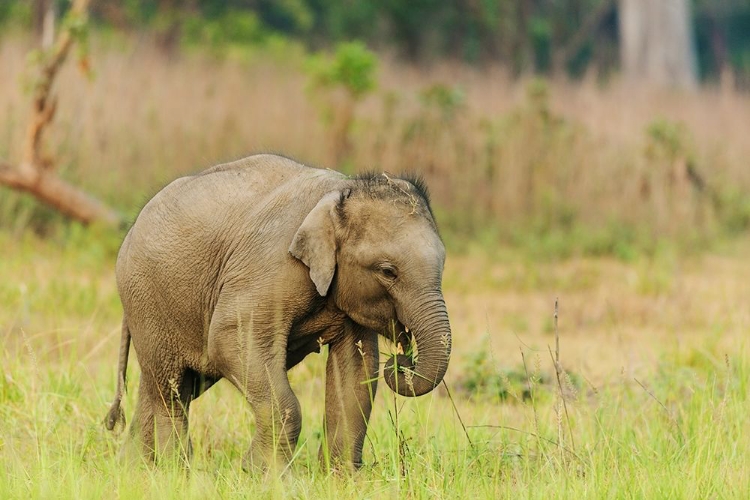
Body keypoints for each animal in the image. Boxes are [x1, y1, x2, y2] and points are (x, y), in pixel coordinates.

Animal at [105, 154, 452, 470]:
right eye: (388, 271)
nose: (402, 359)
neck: (339, 191)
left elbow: (356, 369)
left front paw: (342, 481)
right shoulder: (269, 267)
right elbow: (229, 341)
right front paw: (261, 473)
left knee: (171, 385)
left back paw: (134, 470)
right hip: (148, 298)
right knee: (172, 388)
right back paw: (175, 470)